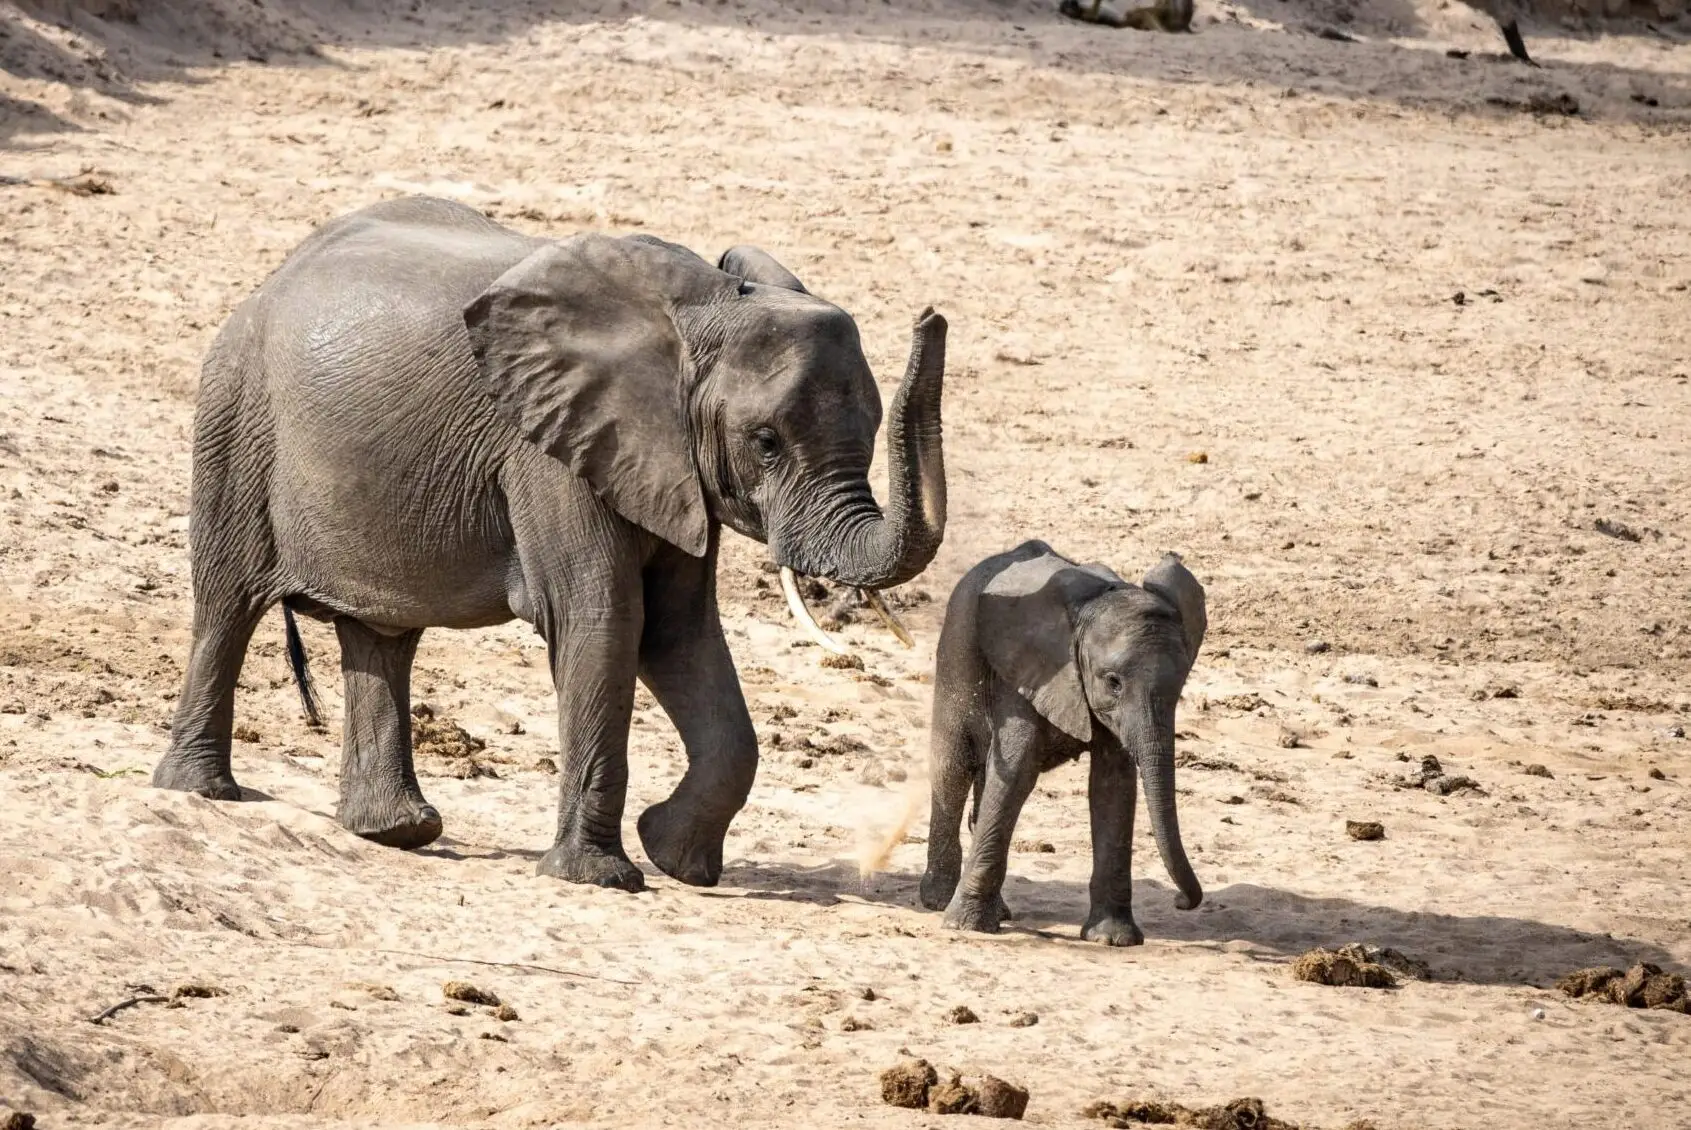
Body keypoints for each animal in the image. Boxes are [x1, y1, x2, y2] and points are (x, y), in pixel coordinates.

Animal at [150, 198, 946, 893]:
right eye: (766, 441)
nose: (931, 316)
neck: (704, 307)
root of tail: (271, 279)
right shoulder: (551, 450)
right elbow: (604, 620)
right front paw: (603, 879)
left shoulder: (662, 461)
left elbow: (678, 631)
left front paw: (676, 858)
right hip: (236, 415)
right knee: (226, 603)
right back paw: (202, 791)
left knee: (381, 637)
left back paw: (396, 832)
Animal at [919, 537, 1210, 947]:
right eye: (1113, 682)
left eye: (1181, 684)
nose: (1182, 901)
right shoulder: (1030, 671)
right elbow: (1018, 771)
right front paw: (966, 926)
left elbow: (1112, 784)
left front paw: (1112, 939)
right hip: (956, 651)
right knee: (953, 768)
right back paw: (939, 901)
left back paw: (997, 911)